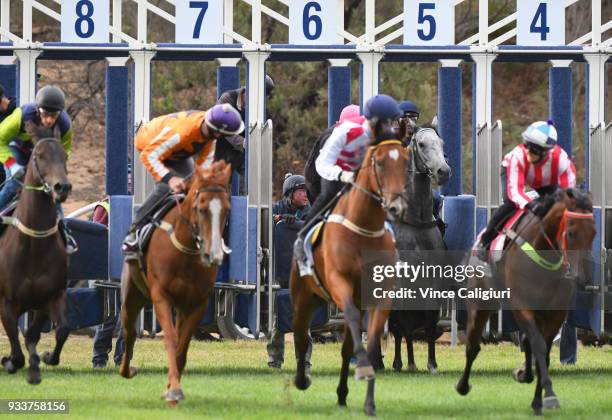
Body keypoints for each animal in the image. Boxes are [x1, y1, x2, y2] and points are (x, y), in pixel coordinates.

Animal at [0, 126, 72, 386]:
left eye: (64, 156)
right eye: (39, 156)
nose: (62, 187)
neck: (33, 246)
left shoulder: (51, 296)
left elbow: (58, 331)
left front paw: (47, 356)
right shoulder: (6, 303)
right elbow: (17, 351)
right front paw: (10, 361)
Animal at [119, 160, 232, 404]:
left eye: (227, 210)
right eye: (201, 209)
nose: (214, 255)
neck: (185, 250)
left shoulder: (197, 303)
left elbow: (183, 345)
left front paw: (172, 386)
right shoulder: (161, 295)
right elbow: (171, 339)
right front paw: (174, 389)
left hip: (181, 306)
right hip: (131, 296)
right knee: (130, 332)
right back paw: (127, 370)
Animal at [292, 139, 412, 416]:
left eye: (405, 163)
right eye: (379, 163)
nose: (396, 206)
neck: (364, 230)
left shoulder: (380, 296)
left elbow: (371, 340)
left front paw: (369, 399)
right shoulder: (340, 284)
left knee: (346, 347)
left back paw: (342, 394)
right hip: (303, 297)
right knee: (301, 336)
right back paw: (301, 379)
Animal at [456, 189, 596, 416]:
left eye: (594, 233)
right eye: (571, 233)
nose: (583, 279)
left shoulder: (555, 313)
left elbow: (543, 353)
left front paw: (539, 399)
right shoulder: (522, 305)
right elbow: (538, 346)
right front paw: (550, 395)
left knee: (525, 341)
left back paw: (524, 373)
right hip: (480, 304)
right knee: (473, 345)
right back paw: (462, 385)